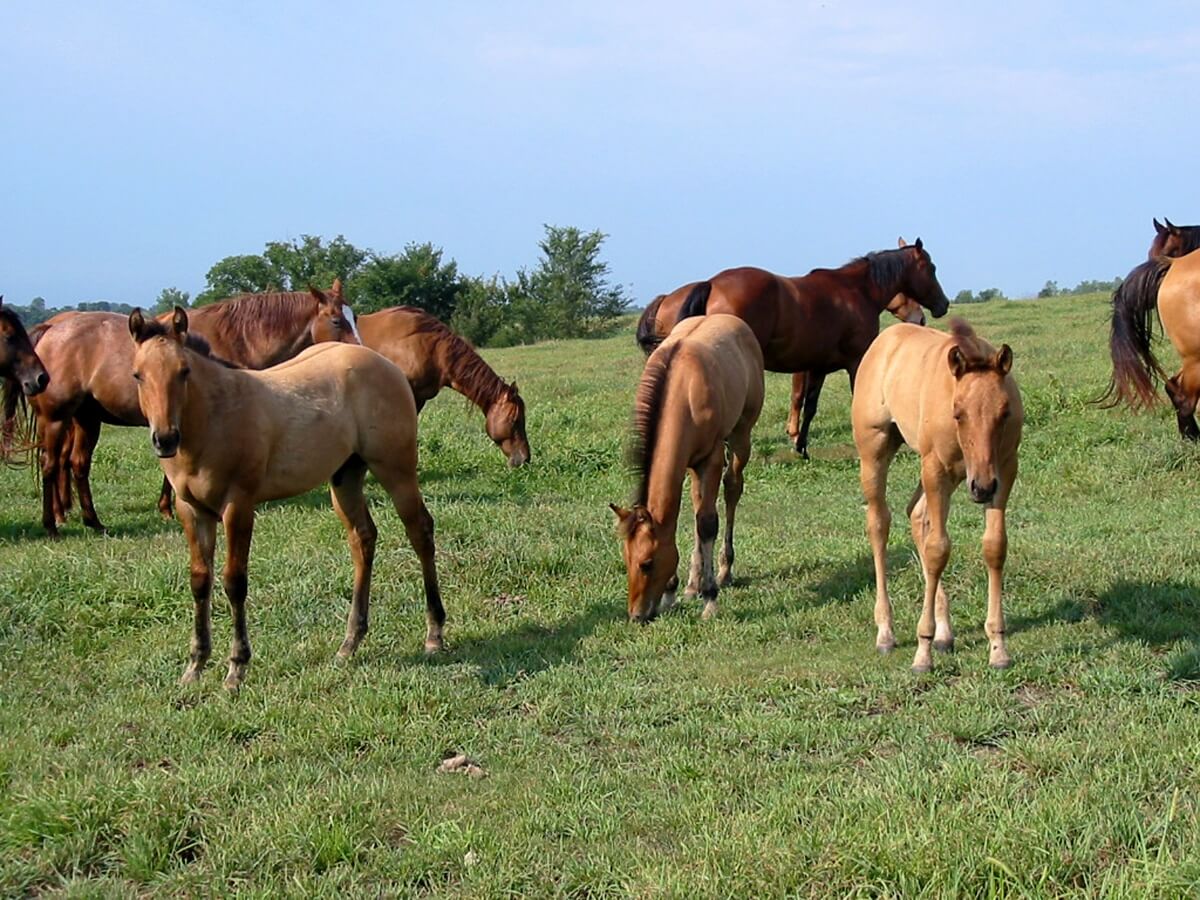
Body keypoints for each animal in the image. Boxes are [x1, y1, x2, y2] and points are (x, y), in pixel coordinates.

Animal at [4, 283, 360, 536]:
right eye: (337, 319)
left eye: (354, 317)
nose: (361, 354)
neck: (237, 338)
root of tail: (51, 329)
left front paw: (167, 507)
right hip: (56, 418)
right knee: (52, 465)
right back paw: (52, 523)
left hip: (86, 419)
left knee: (76, 464)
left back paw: (90, 520)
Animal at [129, 307, 442, 690]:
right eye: (138, 375)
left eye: (184, 371)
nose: (165, 439)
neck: (215, 417)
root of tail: (386, 364)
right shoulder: (192, 510)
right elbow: (200, 581)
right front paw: (195, 666)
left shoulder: (238, 505)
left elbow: (234, 581)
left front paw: (236, 668)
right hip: (345, 478)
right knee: (363, 538)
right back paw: (349, 643)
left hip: (397, 470)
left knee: (420, 532)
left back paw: (434, 635)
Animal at [611, 314, 764, 622]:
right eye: (626, 560)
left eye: (647, 563)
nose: (636, 616)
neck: (682, 389)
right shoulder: (684, 463)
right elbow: (687, 518)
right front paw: (674, 592)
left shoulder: (712, 458)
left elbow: (707, 523)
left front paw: (710, 598)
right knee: (698, 505)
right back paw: (693, 583)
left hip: (741, 436)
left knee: (732, 489)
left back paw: (724, 571)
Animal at [635, 239, 950, 457]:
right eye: (932, 268)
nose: (941, 306)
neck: (856, 291)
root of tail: (711, 284)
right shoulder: (855, 361)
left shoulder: (817, 367)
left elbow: (808, 406)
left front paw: (801, 447)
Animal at [852, 319, 1022, 673]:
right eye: (958, 412)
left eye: (1004, 412)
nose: (982, 488)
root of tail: (886, 339)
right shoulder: (935, 470)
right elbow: (938, 550)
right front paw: (922, 652)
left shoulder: (1004, 470)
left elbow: (995, 546)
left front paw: (998, 648)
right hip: (875, 452)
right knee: (879, 523)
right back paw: (886, 631)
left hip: (957, 477)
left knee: (917, 513)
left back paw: (945, 633)